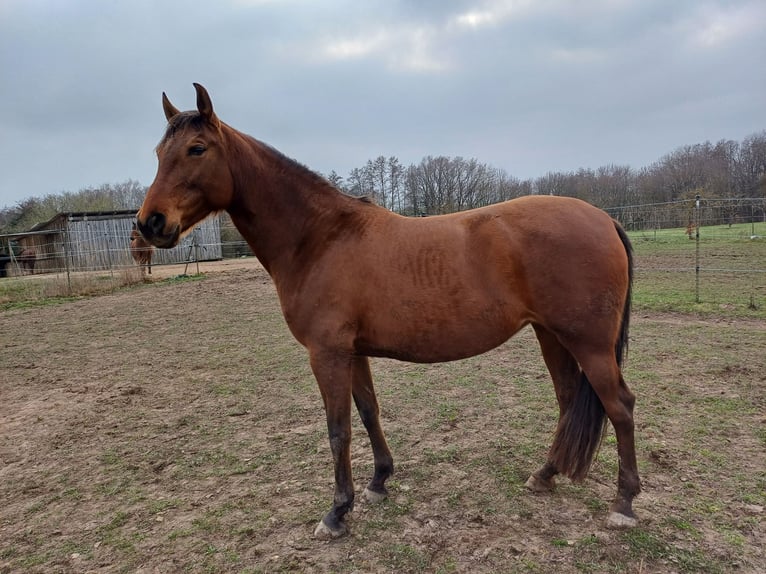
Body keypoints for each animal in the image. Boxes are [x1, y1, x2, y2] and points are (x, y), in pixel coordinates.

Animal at [136, 84, 640, 540]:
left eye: (196, 149)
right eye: (159, 151)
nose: (149, 223)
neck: (320, 238)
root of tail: (603, 218)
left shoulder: (327, 354)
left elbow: (337, 429)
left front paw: (336, 512)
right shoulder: (353, 351)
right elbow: (368, 413)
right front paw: (379, 482)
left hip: (588, 343)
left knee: (620, 405)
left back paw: (624, 504)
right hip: (551, 335)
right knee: (568, 399)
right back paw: (545, 475)